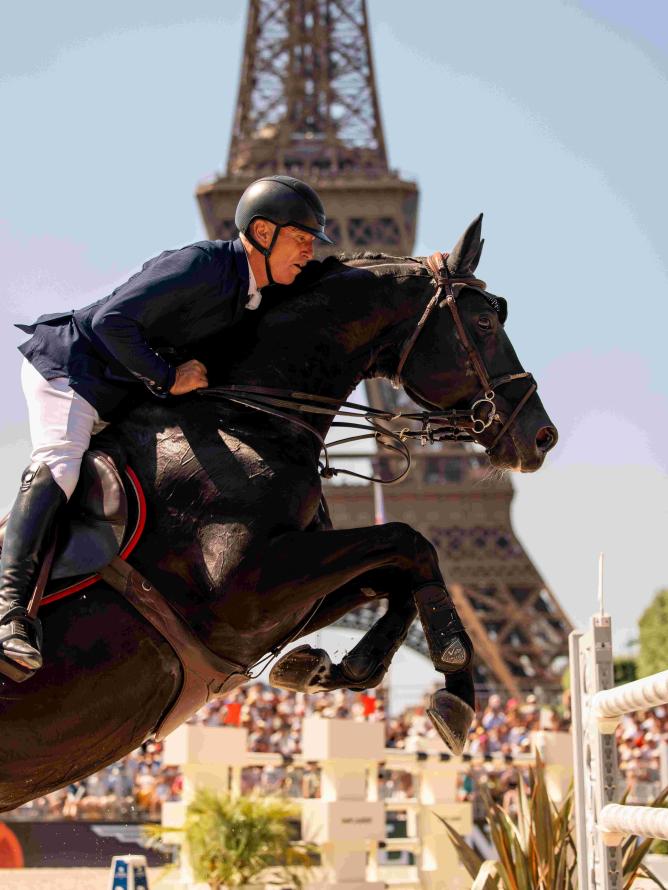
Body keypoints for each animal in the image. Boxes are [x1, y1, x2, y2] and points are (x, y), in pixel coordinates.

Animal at [0, 215, 552, 804]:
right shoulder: (246, 589)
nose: (541, 435)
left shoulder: (286, 602)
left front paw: (331, 668)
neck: (246, 419)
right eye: (484, 322)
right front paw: (455, 675)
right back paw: (16, 635)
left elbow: (397, 573)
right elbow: (411, 540)